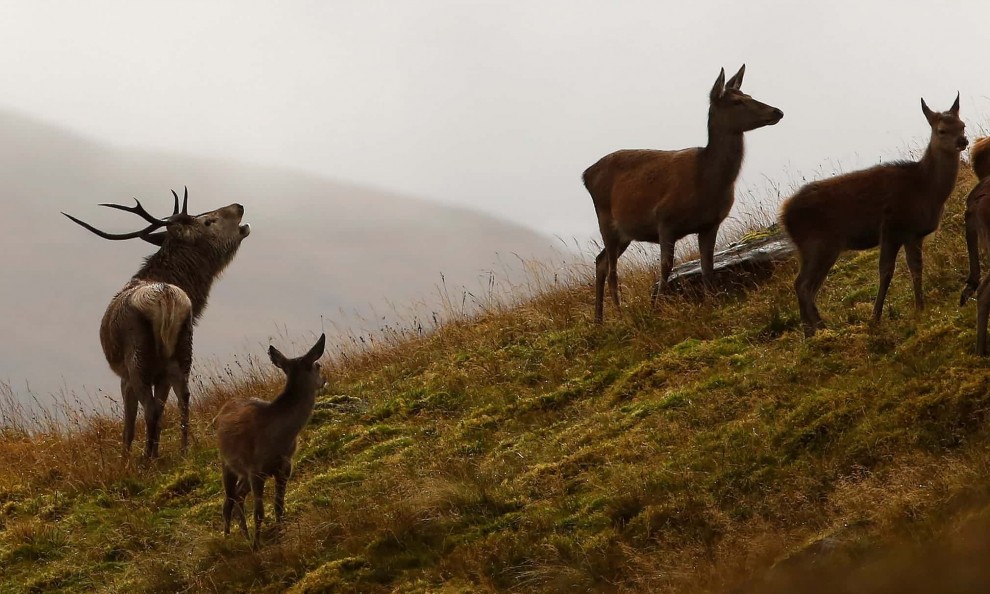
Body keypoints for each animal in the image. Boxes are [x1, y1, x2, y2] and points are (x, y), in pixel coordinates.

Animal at [63, 187, 252, 456]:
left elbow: (129, 427)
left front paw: (127, 458)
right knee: (183, 397)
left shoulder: (125, 378)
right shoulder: (160, 374)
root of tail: (166, 297)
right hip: (182, 350)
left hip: (138, 358)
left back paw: (146, 459)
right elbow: (162, 410)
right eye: (208, 220)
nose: (239, 206)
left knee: (151, 408)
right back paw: (182, 451)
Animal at [215, 330, 328, 544]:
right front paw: (257, 545)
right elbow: (258, 512)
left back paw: (245, 535)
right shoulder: (256, 470)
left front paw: (280, 532)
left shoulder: (284, 466)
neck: (279, 438)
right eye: (318, 365)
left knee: (238, 496)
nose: (324, 380)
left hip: (244, 472)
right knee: (228, 501)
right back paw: (227, 538)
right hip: (226, 463)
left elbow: (278, 506)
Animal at [584, 65, 788, 322]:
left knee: (600, 261)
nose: (777, 111)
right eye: (736, 101)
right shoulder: (665, 219)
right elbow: (665, 267)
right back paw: (619, 315)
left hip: (625, 232)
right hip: (606, 220)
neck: (706, 182)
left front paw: (712, 302)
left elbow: (707, 266)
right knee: (611, 269)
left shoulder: (710, 224)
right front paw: (656, 309)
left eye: (749, 95)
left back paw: (599, 320)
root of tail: (585, 175)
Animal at [784, 92, 968, 332]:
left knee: (804, 284)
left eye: (962, 125)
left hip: (813, 248)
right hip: (818, 243)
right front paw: (875, 317)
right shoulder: (891, 226)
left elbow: (916, 268)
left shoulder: (914, 234)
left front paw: (920, 308)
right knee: (804, 285)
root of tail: (784, 216)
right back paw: (821, 328)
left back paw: (811, 331)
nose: (963, 141)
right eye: (941, 130)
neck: (926, 188)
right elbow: (885, 271)